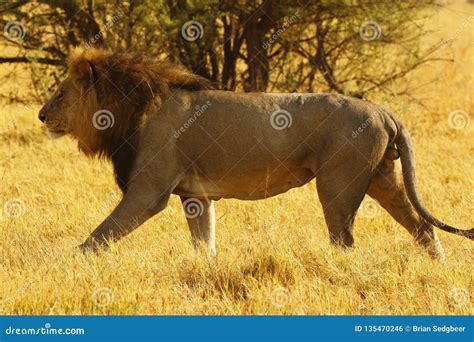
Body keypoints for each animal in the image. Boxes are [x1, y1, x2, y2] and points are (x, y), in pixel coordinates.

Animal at [39, 48, 472, 260]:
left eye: (60, 92)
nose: (41, 115)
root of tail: (383, 111)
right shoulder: (196, 197)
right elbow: (204, 244)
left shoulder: (149, 192)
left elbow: (99, 235)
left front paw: (68, 263)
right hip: (384, 178)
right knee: (422, 226)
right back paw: (438, 268)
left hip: (338, 184)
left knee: (345, 240)